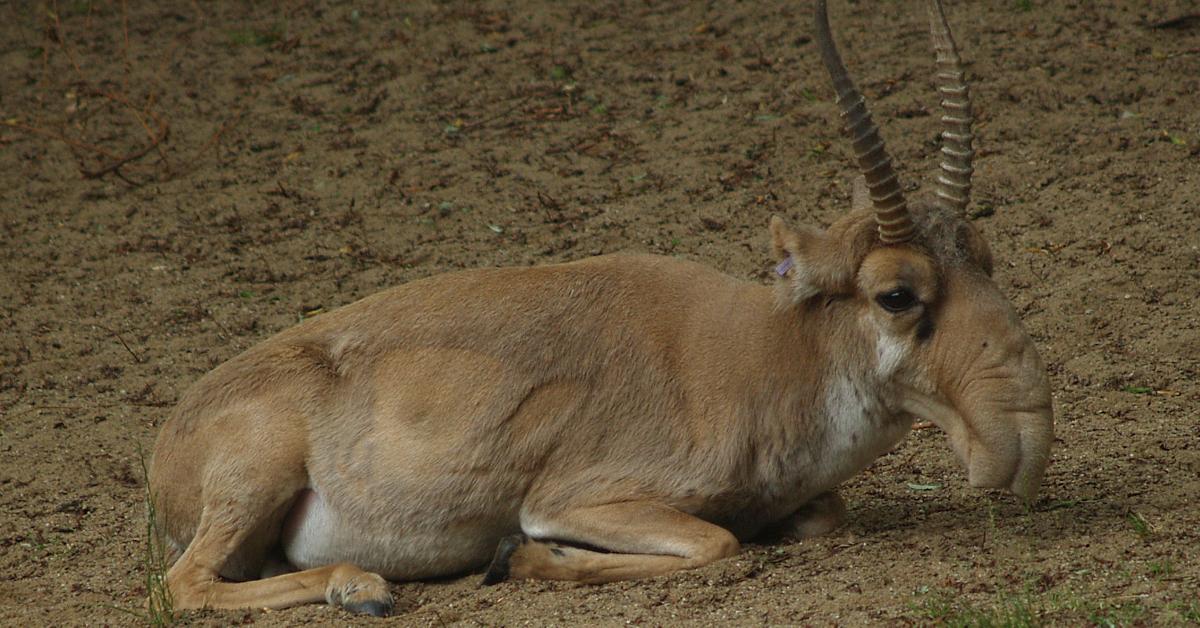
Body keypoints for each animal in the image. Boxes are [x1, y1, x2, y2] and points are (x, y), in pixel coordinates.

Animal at [150, 0, 1051, 614]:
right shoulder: (577, 499)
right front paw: (517, 558)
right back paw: (361, 586)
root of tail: (171, 446)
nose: (1021, 438)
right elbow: (716, 541)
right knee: (184, 585)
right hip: (254, 479)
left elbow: (815, 517)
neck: (758, 355)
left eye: (984, 254)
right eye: (897, 293)